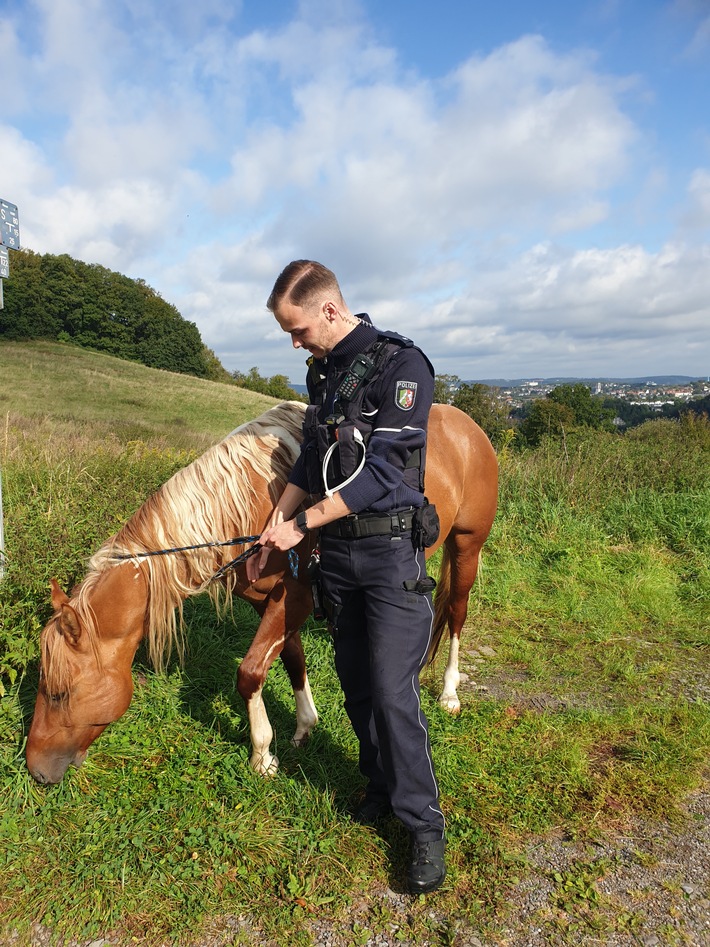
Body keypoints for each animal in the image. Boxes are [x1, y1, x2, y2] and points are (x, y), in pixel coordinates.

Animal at [25, 400, 498, 784]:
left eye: (59, 693)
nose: (35, 770)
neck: (249, 509)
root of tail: (470, 427)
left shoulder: (296, 598)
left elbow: (250, 673)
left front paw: (262, 754)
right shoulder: (273, 602)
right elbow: (292, 658)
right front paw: (304, 724)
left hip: (467, 547)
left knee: (456, 615)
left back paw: (449, 693)